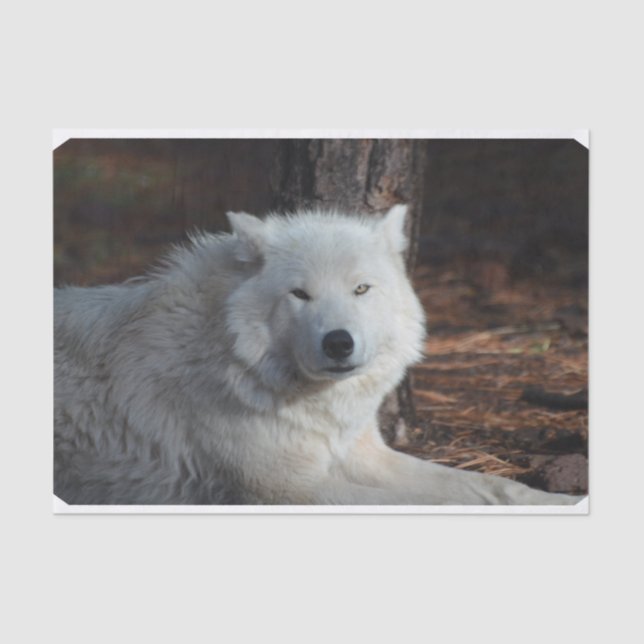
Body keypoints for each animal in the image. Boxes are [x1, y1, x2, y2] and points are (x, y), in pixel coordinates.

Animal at [54, 205, 580, 506]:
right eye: (300, 294)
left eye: (361, 289)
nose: (338, 343)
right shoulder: (287, 490)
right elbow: (444, 504)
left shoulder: (364, 457)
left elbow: (495, 488)